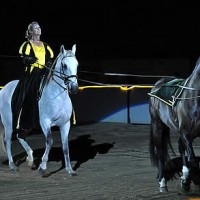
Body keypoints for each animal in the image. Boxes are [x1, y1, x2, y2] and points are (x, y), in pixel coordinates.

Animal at [148, 57, 200, 192]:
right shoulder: (185, 132)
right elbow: (193, 160)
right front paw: (187, 182)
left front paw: (185, 180)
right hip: (158, 125)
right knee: (160, 153)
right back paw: (163, 183)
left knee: (181, 146)